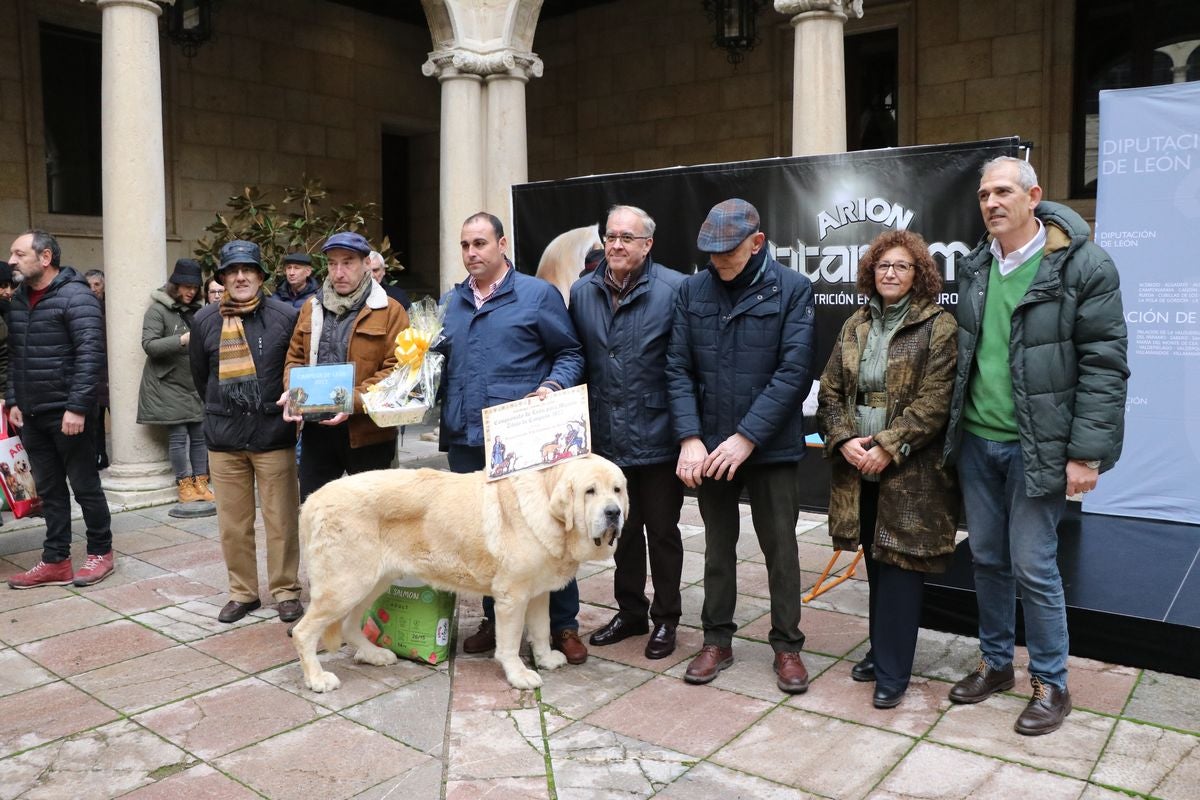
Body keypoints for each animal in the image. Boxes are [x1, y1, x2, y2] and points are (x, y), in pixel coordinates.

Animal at [290, 455, 628, 695]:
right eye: (589, 491)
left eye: (617, 490)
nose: (613, 512)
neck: (547, 508)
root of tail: (311, 500)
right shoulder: (512, 597)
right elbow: (509, 643)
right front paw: (518, 674)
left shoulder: (538, 593)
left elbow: (542, 630)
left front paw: (545, 659)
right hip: (346, 584)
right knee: (303, 631)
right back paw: (317, 678)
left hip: (371, 582)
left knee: (348, 625)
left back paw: (374, 655)